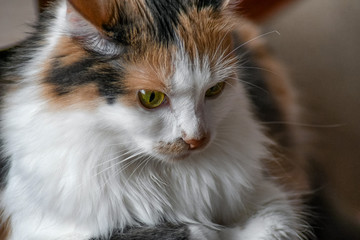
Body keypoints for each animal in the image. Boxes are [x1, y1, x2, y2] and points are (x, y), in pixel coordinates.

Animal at [0, 0, 310, 240]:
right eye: (150, 97)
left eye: (214, 90)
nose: (196, 139)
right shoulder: (36, 227)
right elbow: (194, 231)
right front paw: (210, 230)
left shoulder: (266, 194)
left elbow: (273, 222)